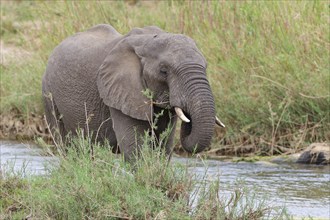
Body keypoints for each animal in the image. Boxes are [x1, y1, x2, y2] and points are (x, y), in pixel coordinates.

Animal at [42, 24, 224, 161]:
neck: (147, 41)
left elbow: (163, 146)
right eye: (164, 71)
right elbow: (134, 147)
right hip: (48, 94)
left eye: (205, 67)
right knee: (67, 145)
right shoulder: (120, 92)